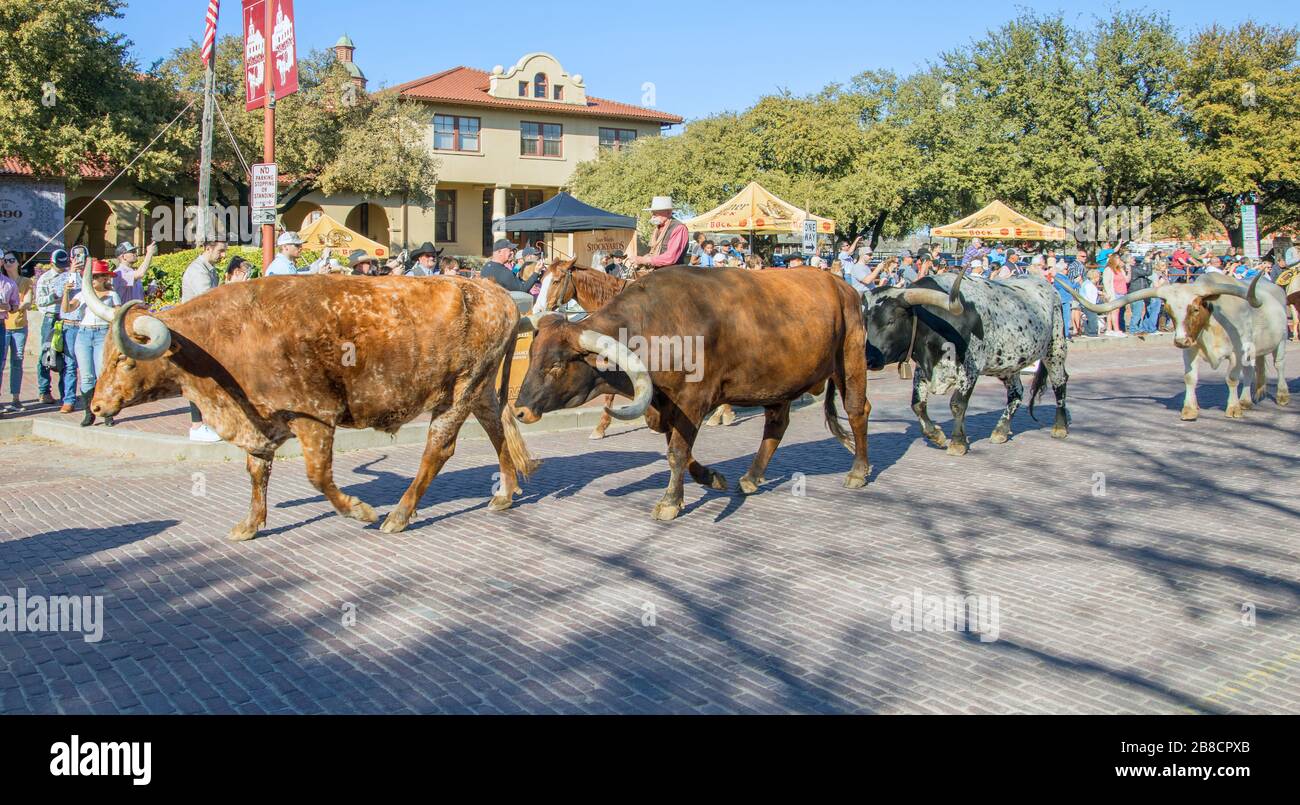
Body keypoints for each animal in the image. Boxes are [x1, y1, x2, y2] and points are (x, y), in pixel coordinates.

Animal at [81, 262, 538, 541]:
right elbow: (257, 471)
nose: (97, 407)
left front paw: (360, 511)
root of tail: (490, 290)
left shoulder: (312, 415)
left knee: (439, 448)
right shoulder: (263, 420)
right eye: (104, 355)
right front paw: (250, 525)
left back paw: (397, 516)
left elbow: (318, 476)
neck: (230, 335)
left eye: (125, 359)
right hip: (477, 390)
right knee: (497, 427)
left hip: (460, 391)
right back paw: (504, 494)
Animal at [512, 266, 872, 520]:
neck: (659, 323)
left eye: (557, 365)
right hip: (778, 383)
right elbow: (678, 449)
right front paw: (712, 477)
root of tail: (841, 284)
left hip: (850, 361)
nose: (519, 411)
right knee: (776, 425)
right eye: (532, 357)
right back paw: (751, 477)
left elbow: (676, 452)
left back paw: (858, 471)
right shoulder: (664, 404)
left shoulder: (693, 399)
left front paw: (670, 502)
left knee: (858, 410)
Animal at [864, 272, 1070, 454]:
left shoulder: (970, 368)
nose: (869, 359)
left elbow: (957, 404)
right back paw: (1001, 431)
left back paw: (1060, 427)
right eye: (865, 322)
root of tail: (1048, 285)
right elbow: (917, 404)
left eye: (891, 321)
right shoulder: (923, 369)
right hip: (1007, 364)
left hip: (1055, 349)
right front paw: (936, 435)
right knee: (1016, 392)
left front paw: (957, 442)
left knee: (1060, 382)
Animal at [1065, 272, 1289, 419]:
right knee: (1252, 371)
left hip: (1280, 341)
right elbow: (1190, 377)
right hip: (1254, 351)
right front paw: (1189, 409)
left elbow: (1232, 379)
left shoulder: (1236, 352)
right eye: (1169, 310)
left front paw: (1233, 408)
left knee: (1278, 365)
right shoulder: (1190, 350)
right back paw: (1247, 400)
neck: (1212, 322)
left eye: (1195, 308)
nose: (1179, 340)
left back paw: (1281, 395)